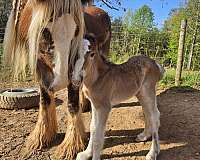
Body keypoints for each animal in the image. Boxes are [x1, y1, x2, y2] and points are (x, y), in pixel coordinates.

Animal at [3, 0, 111, 159]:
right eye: (44, 30)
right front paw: (41, 137)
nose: (64, 78)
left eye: (77, 30)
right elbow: (44, 101)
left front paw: (71, 146)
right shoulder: (40, 68)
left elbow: (72, 105)